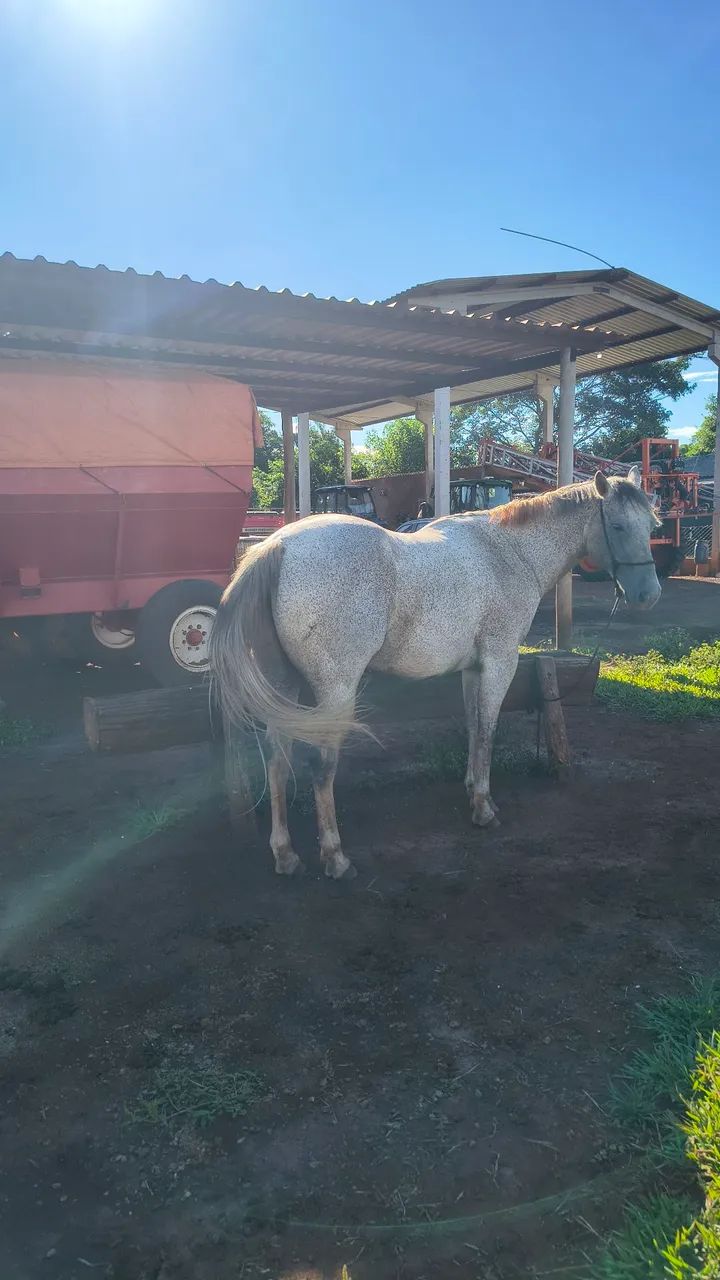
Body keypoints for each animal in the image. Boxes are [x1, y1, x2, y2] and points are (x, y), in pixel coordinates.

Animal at [210, 469, 661, 880]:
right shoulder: (500, 661)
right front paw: (483, 808)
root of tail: (278, 546)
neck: (510, 554)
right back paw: (335, 858)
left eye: (652, 526)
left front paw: (473, 789)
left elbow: (474, 727)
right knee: (322, 768)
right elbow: (488, 731)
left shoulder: (473, 668)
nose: (649, 595)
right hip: (335, 692)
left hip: (284, 689)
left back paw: (285, 854)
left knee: (277, 759)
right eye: (618, 526)